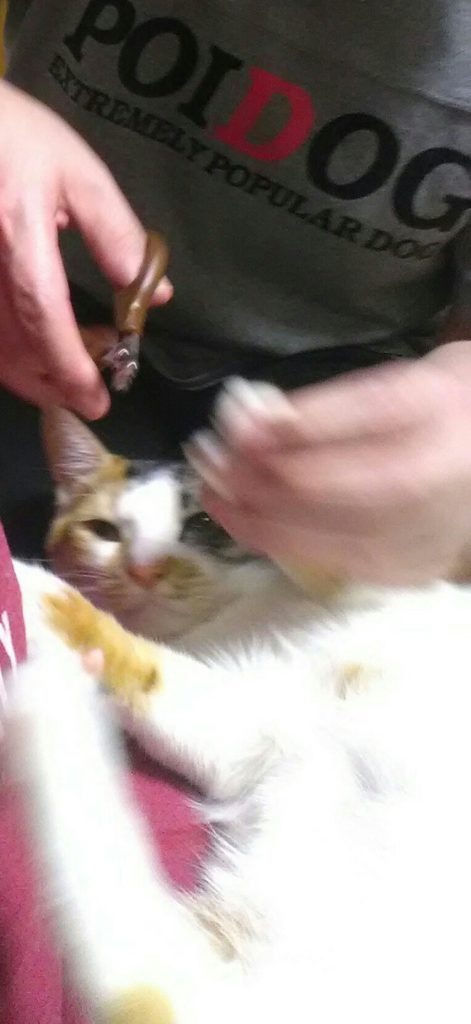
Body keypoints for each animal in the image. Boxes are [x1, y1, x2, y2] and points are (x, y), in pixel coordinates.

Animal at [5, 378, 471, 1024]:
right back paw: (50, 698)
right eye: (105, 530)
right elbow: (141, 662)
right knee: (150, 979)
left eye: (201, 523)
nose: (145, 569)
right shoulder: (243, 726)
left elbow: (343, 559)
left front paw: (267, 451)